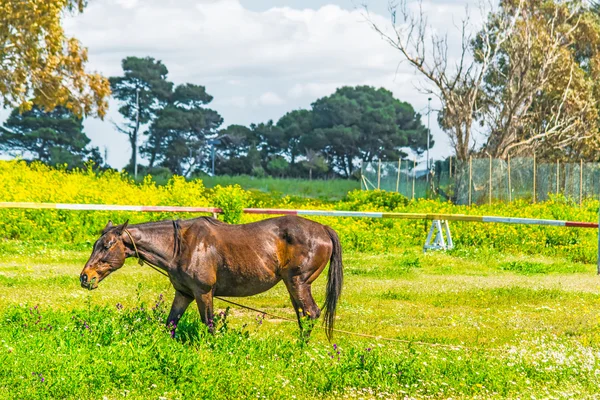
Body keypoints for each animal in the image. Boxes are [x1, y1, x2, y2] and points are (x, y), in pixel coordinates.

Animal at [79, 217, 342, 340]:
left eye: (107, 245)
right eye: (95, 244)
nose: (85, 277)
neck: (181, 246)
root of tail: (323, 229)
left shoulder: (203, 292)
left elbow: (209, 325)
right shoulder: (184, 293)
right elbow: (170, 323)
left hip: (298, 283)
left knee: (310, 314)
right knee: (303, 316)